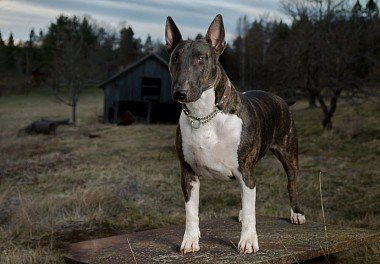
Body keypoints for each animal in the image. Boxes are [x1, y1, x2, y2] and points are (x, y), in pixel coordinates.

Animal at [166, 13, 306, 254]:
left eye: (200, 58)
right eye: (175, 58)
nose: (179, 93)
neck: (204, 115)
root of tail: (280, 99)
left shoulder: (245, 170)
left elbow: (251, 211)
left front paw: (248, 241)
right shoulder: (188, 172)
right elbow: (191, 212)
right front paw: (190, 240)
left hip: (289, 155)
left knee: (290, 183)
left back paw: (296, 213)